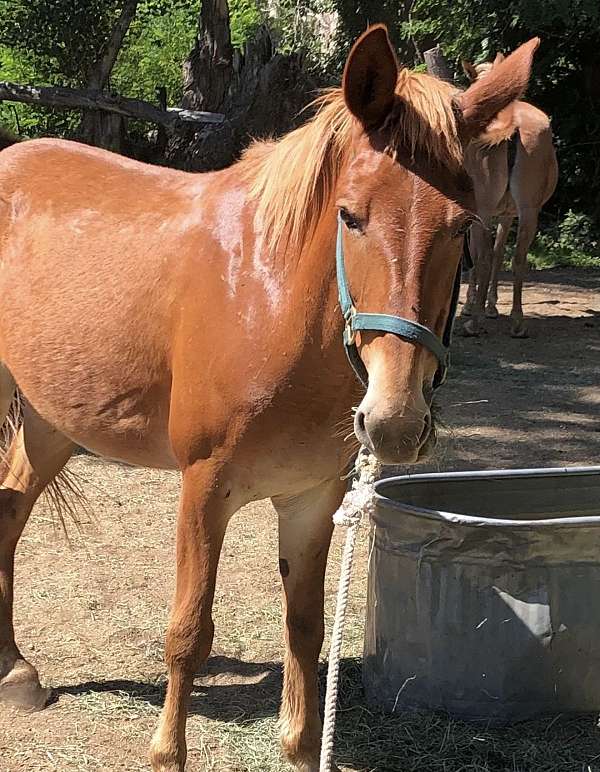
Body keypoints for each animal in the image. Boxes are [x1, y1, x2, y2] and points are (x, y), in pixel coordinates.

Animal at [0, 26, 539, 772]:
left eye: (462, 228)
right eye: (350, 216)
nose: (396, 422)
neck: (270, 302)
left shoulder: (310, 499)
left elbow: (305, 631)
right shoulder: (204, 489)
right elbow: (188, 633)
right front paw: (167, 751)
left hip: (53, 419)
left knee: (9, 511)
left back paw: (15, 671)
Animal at [461, 52, 558, 337]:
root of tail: (513, 123)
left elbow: (483, 254)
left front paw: (475, 305)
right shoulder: (507, 215)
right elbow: (499, 252)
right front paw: (490, 306)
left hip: (485, 210)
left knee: (482, 259)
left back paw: (475, 322)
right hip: (528, 210)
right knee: (519, 258)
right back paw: (517, 321)